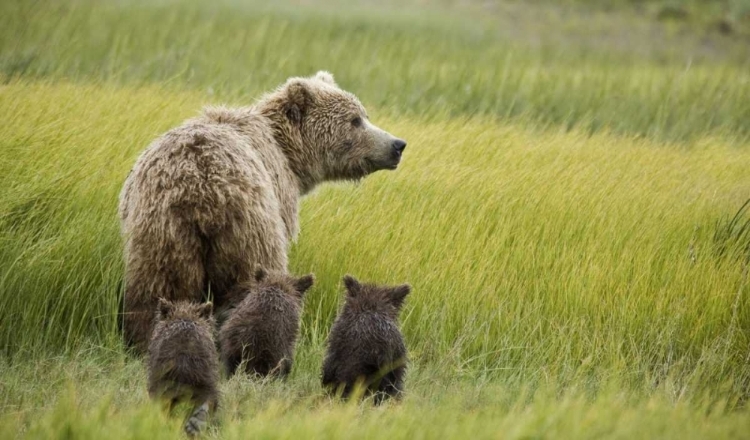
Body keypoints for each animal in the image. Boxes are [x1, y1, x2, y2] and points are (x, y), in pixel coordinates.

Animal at [119, 72, 408, 354]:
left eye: (364, 115)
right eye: (355, 120)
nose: (398, 144)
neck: (288, 154)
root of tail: (198, 188)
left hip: (162, 231)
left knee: (159, 287)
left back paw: (147, 340)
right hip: (248, 229)